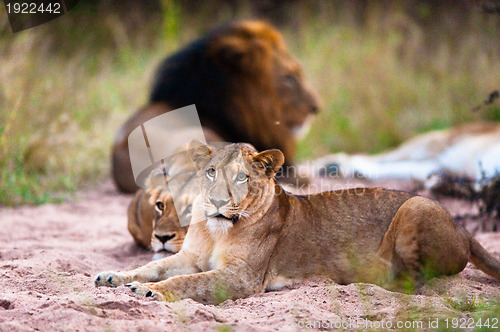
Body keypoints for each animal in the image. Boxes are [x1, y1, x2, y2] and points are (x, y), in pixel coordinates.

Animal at [94, 143, 500, 304]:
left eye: (241, 177)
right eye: (210, 173)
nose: (220, 200)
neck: (215, 229)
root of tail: (465, 230)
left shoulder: (242, 277)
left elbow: (188, 283)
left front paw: (150, 292)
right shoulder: (189, 257)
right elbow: (153, 265)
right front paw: (114, 276)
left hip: (415, 205)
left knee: (419, 282)